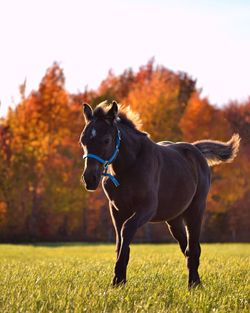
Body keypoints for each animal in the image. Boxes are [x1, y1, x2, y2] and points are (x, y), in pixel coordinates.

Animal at [80, 100, 240, 288]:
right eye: (83, 140)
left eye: (106, 140)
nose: (89, 179)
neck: (129, 167)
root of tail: (195, 149)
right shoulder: (117, 210)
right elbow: (120, 242)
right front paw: (119, 282)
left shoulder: (146, 208)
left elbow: (127, 230)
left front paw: (118, 277)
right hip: (174, 219)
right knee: (186, 247)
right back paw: (196, 281)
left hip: (196, 210)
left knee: (193, 247)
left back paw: (193, 284)